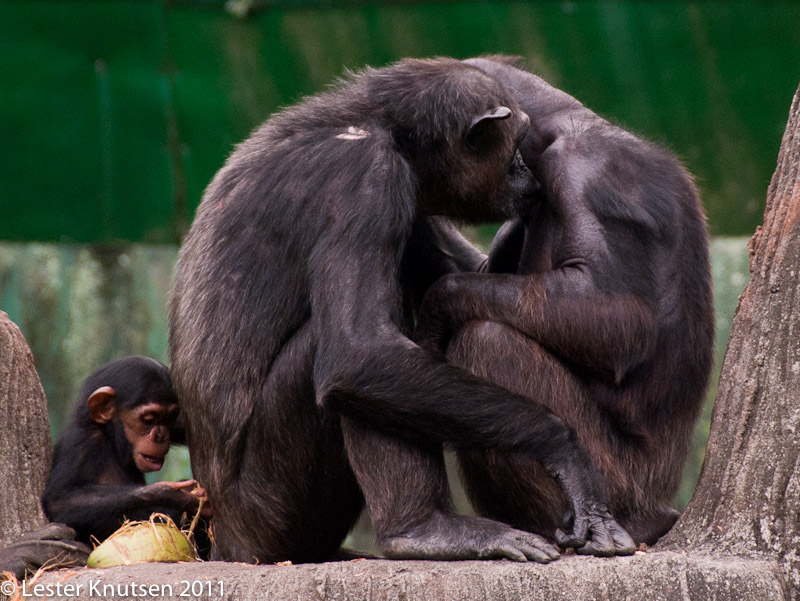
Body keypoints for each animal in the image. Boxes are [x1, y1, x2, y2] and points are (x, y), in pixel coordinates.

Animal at [41, 354, 209, 548]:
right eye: (149, 419)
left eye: (170, 418)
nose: (161, 436)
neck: (111, 441)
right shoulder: (81, 443)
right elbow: (61, 499)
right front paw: (170, 494)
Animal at [170, 56, 636, 564]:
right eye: (515, 144)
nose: (525, 171)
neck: (387, 129)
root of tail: (222, 539)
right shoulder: (368, 180)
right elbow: (360, 349)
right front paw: (565, 451)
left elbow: (461, 273)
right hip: (270, 511)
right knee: (354, 364)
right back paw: (423, 530)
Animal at [412, 57, 712, 548]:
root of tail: (662, 502)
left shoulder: (584, 175)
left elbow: (612, 311)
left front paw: (438, 306)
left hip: (618, 479)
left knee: (490, 344)